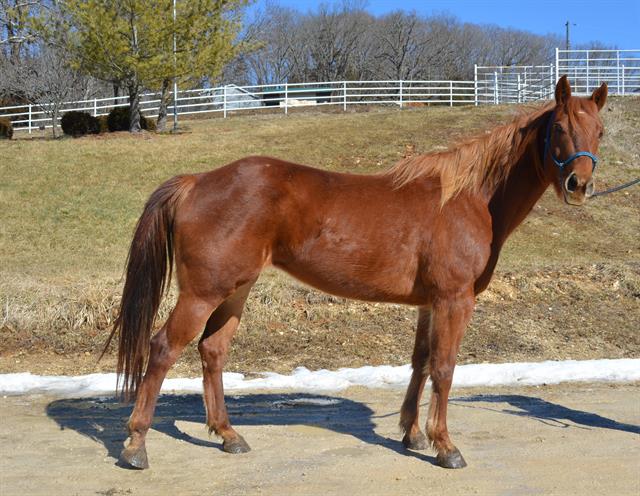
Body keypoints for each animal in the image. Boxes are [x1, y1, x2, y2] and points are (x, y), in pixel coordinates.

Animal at [107, 77, 608, 468]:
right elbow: (445, 368)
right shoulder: (454, 300)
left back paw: (229, 436)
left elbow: (420, 362)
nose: (578, 185)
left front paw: (412, 434)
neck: (469, 198)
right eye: (560, 127)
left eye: (599, 130)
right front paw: (445, 446)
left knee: (212, 352)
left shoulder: (429, 304)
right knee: (163, 349)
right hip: (202, 293)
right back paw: (136, 444)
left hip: (235, 290)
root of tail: (196, 182)